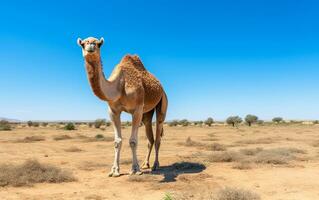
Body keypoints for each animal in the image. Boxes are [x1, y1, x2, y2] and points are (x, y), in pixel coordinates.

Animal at [77, 36, 169, 177]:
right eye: (83, 44)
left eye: (98, 44)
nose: (91, 46)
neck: (119, 85)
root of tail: (161, 87)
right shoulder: (113, 111)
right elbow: (117, 141)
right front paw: (114, 170)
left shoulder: (137, 109)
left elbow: (133, 141)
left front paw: (135, 169)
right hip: (147, 113)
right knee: (150, 137)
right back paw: (145, 164)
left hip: (162, 101)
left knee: (158, 133)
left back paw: (155, 165)